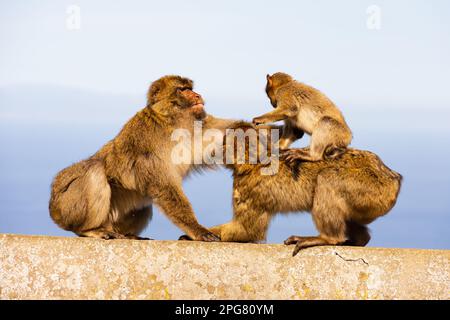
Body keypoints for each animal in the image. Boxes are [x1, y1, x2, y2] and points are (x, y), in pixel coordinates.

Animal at [48, 75, 237, 240]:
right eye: (183, 89)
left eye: (190, 88)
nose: (198, 95)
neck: (171, 120)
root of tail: (53, 206)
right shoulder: (150, 142)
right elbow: (164, 186)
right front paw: (197, 229)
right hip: (67, 206)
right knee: (94, 169)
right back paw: (90, 229)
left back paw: (128, 235)